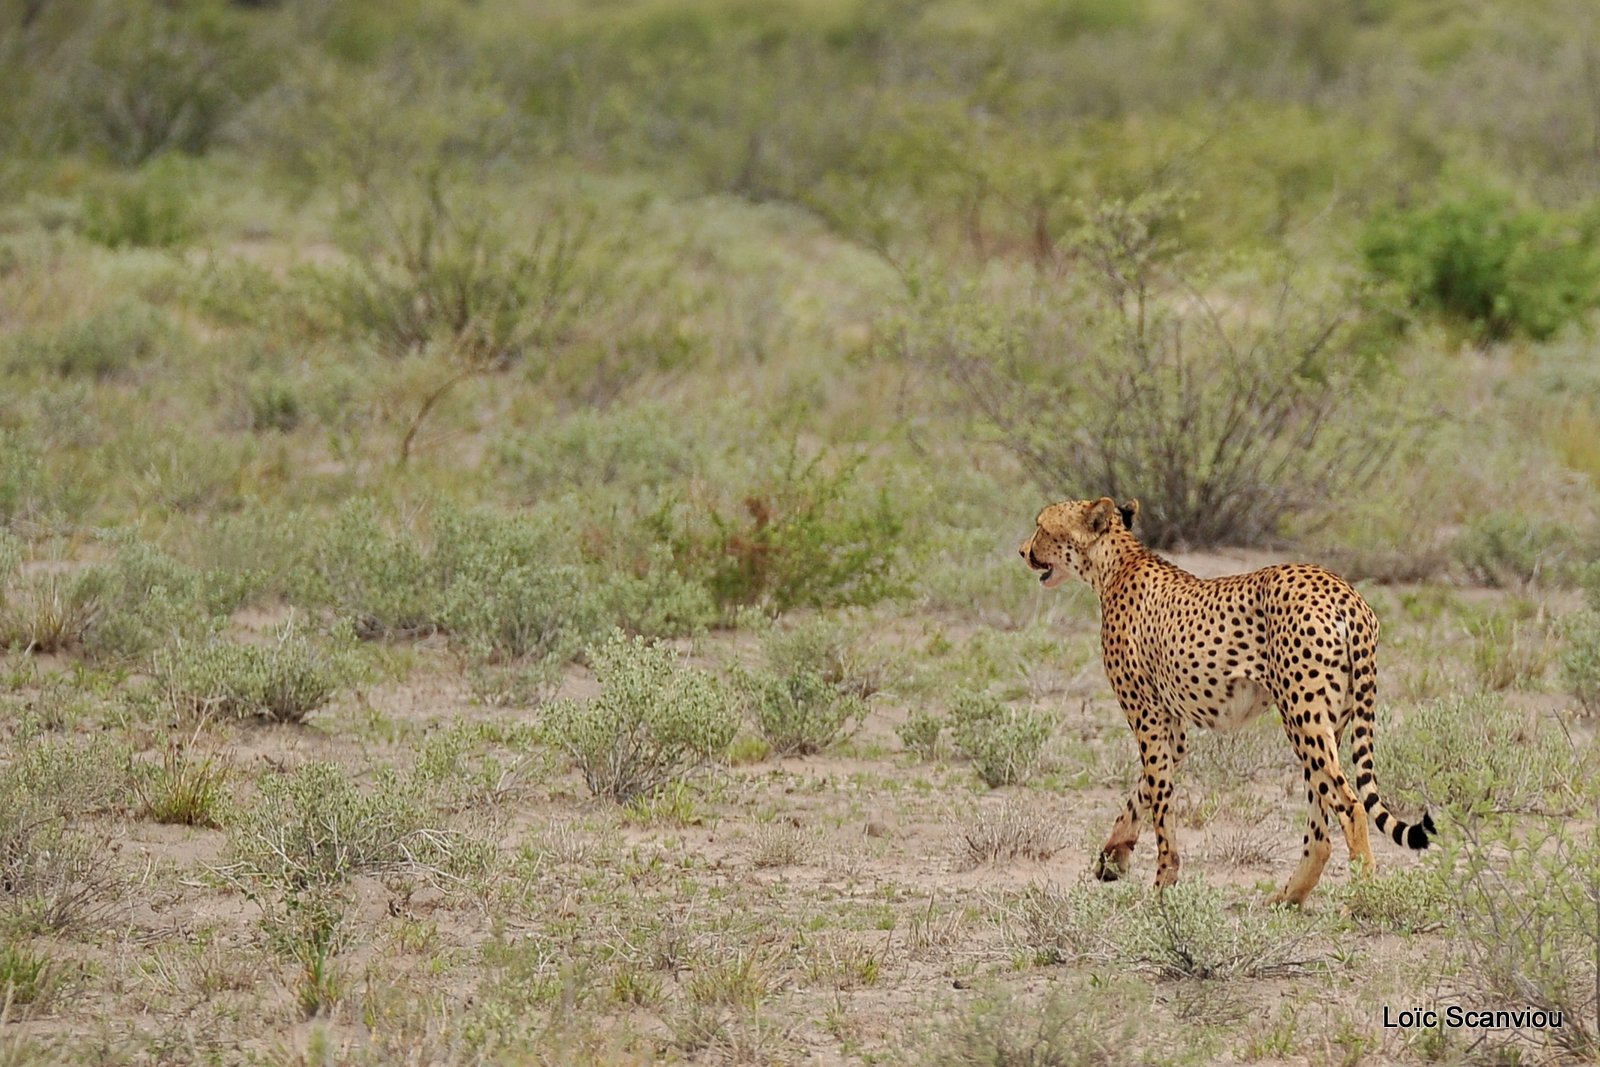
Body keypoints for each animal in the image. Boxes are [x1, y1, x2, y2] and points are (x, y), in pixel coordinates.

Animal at [1024, 495, 1440, 908]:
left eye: (1041, 526)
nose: (1023, 551)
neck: (1117, 563)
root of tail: (1343, 591)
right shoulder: (1173, 731)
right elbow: (1144, 789)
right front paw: (1113, 856)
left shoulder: (1147, 717)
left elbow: (1159, 800)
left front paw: (1161, 885)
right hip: (1329, 722)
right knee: (1321, 825)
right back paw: (1289, 896)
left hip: (1302, 716)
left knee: (1350, 805)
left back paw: (1364, 896)